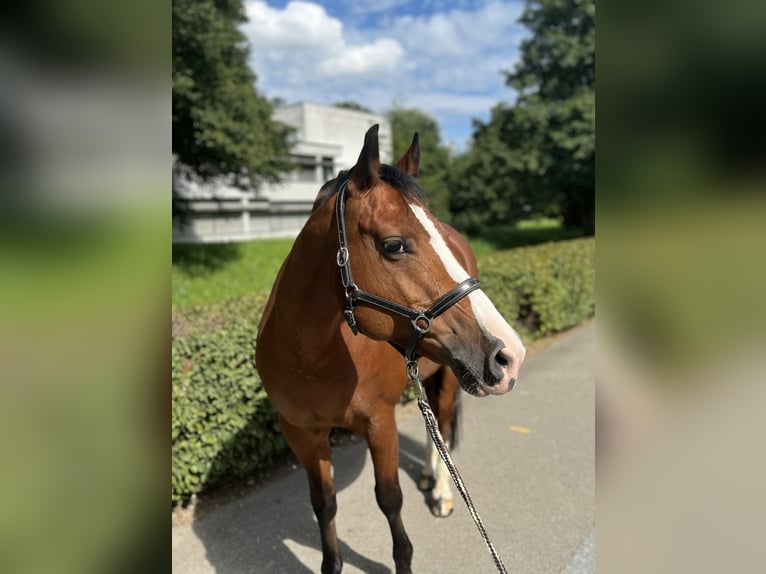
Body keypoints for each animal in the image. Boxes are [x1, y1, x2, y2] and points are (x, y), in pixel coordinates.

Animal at [258, 126, 528, 574]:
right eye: (394, 245)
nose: (509, 354)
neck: (311, 357)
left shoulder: (379, 424)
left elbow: (389, 500)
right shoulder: (303, 435)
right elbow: (324, 505)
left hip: (450, 376)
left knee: (443, 425)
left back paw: (442, 493)